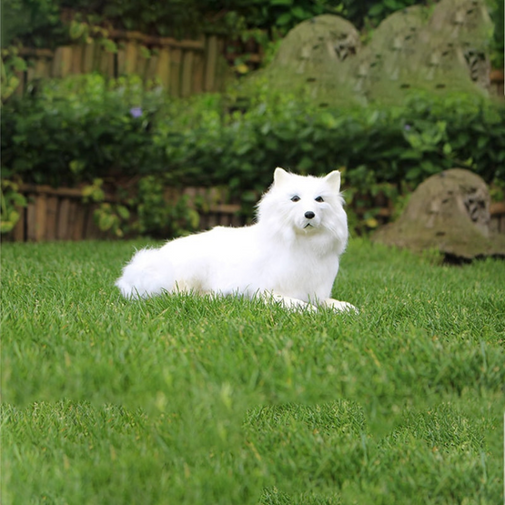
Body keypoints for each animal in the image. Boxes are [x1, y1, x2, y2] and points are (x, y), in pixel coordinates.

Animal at [116, 168, 356, 312]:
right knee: (177, 295)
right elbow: (296, 303)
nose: (309, 215)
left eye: (319, 200)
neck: (303, 244)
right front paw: (309, 310)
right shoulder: (266, 293)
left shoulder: (315, 291)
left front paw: (345, 307)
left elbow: (330, 303)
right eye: (295, 199)